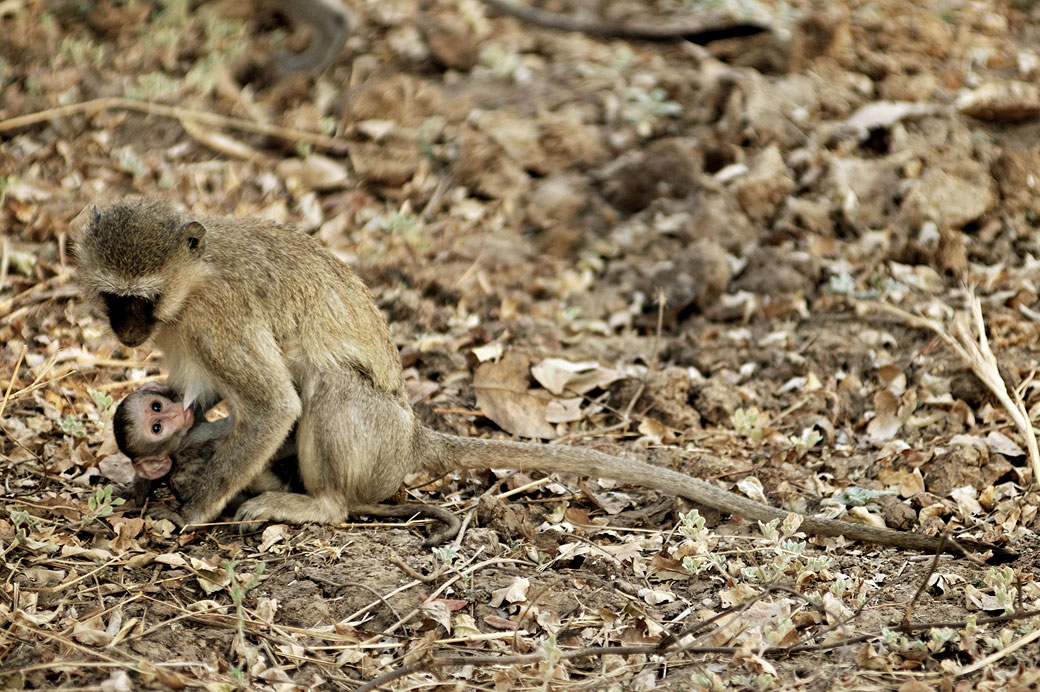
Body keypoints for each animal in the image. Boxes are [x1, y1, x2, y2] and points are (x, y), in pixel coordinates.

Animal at [108, 382, 459, 545]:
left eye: (156, 406)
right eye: (156, 427)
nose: (173, 413)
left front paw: (140, 489)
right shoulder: (193, 440)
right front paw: (186, 516)